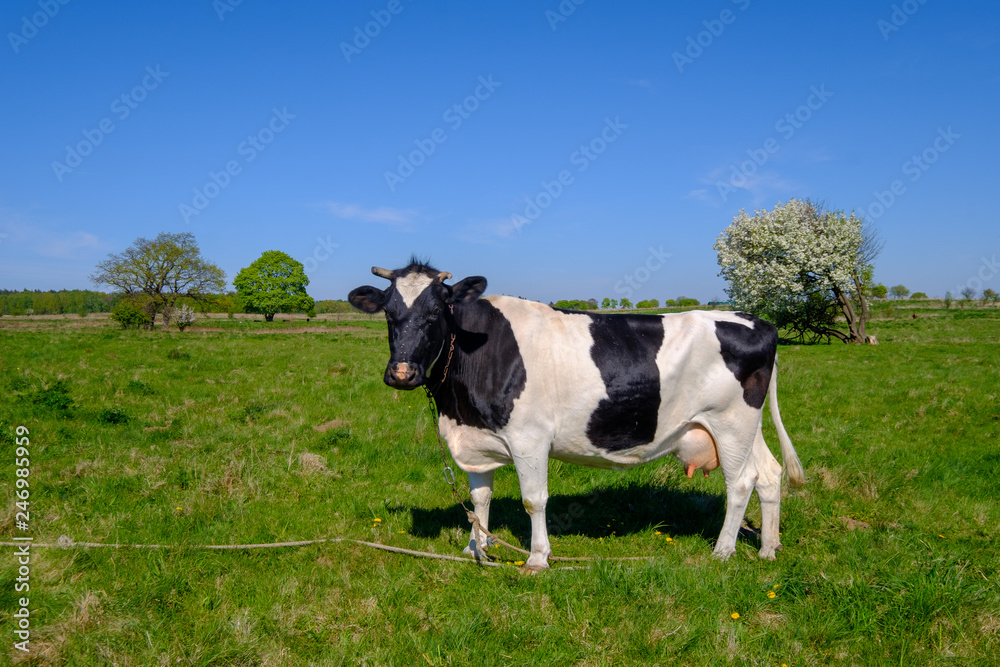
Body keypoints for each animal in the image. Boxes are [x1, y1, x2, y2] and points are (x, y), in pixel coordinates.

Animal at [352, 260, 804, 576]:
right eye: (389, 313)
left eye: (437, 312)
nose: (402, 373)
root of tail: (757, 321)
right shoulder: (478, 437)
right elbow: (480, 499)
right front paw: (476, 548)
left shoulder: (529, 437)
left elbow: (534, 500)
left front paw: (537, 558)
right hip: (743, 427)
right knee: (768, 474)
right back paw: (768, 547)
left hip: (729, 422)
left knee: (741, 483)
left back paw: (724, 551)